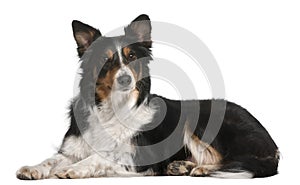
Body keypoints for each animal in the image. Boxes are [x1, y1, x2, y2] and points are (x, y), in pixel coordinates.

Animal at [16, 14, 278, 179]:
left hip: (200, 120)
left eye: (132, 57)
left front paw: (75, 169)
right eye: (106, 59)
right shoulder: (73, 148)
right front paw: (33, 168)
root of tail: (271, 143)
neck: (114, 108)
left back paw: (201, 169)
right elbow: (52, 159)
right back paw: (183, 166)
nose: (125, 80)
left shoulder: (140, 155)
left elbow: (100, 158)